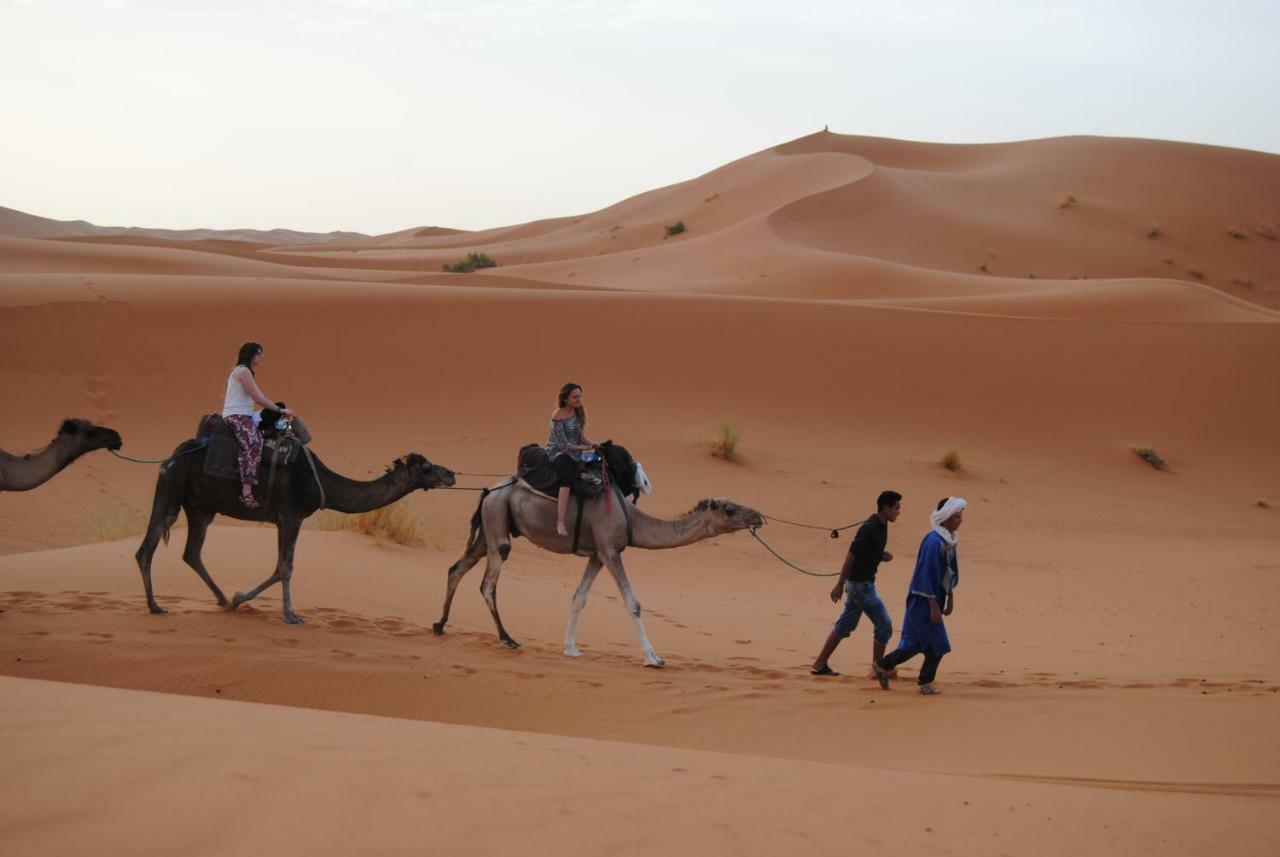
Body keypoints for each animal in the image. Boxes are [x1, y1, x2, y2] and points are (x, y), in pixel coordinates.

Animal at [133, 440, 455, 626]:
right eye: (427, 467)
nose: (450, 474)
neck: (321, 481)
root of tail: (170, 458)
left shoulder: (282, 520)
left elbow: (279, 568)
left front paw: (237, 598)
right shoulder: (291, 517)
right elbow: (285, 568)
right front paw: (290, 614)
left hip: (201, 508)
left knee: (192, 552)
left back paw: (222, 600)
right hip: (172, 489)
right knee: (146, 548)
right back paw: (154, 606)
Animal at [435, 447, 762, 670]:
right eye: (730, 509)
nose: (757, 516)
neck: (632, 520)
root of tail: (488, 490)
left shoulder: (597, 554)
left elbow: (579, 598)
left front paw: (570, 648)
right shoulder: (610, 550)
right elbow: (633, 603)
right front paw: (653, 657)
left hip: (491, 525)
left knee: (457, 567)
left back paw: (439, 624)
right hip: (498, 525)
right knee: (488, 584)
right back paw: (507, 639)